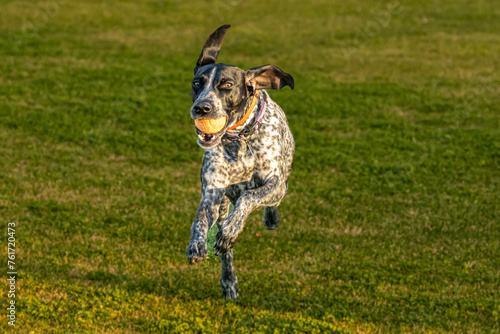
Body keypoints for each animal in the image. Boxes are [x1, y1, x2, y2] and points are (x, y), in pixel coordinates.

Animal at [188, 24, 296, 298]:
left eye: (227, 84)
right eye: (197, 83)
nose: (201, 108)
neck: (239, 141)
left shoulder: (275, 185)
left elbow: (250, 196)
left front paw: (231, 229)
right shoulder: (212, 194)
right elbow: (200, 217)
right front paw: (196, 244)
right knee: (226, 253)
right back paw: (228, 281)